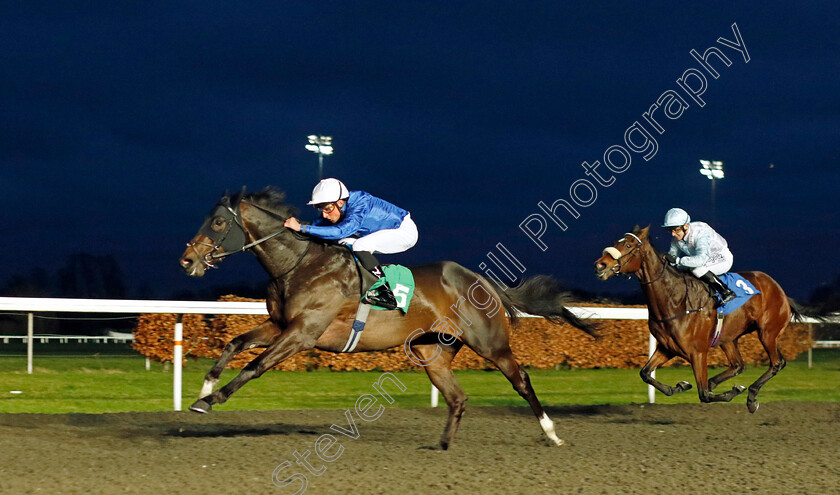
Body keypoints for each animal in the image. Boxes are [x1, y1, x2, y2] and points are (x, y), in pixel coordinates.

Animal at [177, 187, 596, 450]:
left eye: (218, 223)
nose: (187, 260)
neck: (299, 265)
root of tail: (483, 281)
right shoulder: (280, 326)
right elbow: (234, 343)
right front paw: (204, 388)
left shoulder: (303, 332)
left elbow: (256, 366)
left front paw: (211, 400)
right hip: (432, 352)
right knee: (457, 397)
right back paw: (443, 445)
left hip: (490, 343)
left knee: (521, 379)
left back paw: (551, 433)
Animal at [592, 227, 812, 412]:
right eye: (616, 241)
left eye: (629, 246)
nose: (600, 264)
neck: (676, 300)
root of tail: (780, 291)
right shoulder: (667, 347)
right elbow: (645, 373)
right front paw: (680, 386)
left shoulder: (697, 352)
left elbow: (704, 394)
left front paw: (732, 391)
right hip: (728, 338)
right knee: (738, 365)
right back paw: (719, 382)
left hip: (767, 332)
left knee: (777, 363)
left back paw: (751, 396)